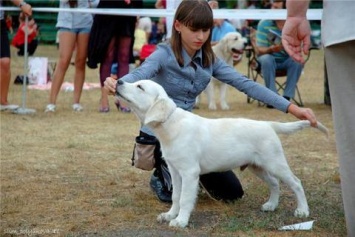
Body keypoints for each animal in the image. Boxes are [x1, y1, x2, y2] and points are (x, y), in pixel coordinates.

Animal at [117, 80, 330, 230]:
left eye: (140, 86)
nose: (118, 81)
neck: (170, 124)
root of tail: (268, 124)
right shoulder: (175, 171)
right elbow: (176, 196)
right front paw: (170, 215)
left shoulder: (189, 172)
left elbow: (185, 198)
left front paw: (181, 221)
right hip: (257, 166)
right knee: (274, 183)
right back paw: (271, 205)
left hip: (275, 162)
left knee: (295, 182)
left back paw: (302, 210)